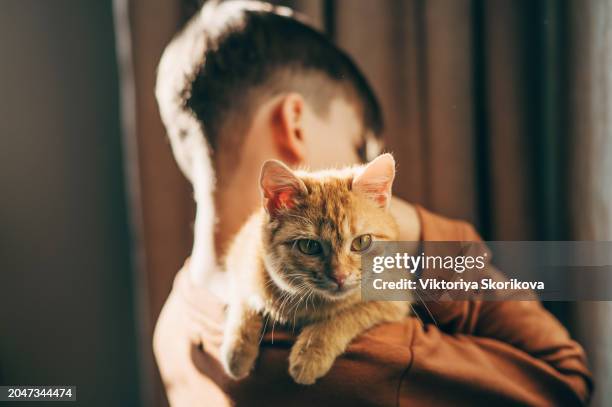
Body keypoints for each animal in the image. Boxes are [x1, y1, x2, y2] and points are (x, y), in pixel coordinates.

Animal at [220, 154, 412, 386]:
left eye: (362, 242)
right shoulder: (240, 262)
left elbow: (344, 315)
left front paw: (310, 353)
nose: (340, 276)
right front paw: (237, 351)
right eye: (309, 246)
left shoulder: (394, 300)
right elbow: (242, 302)